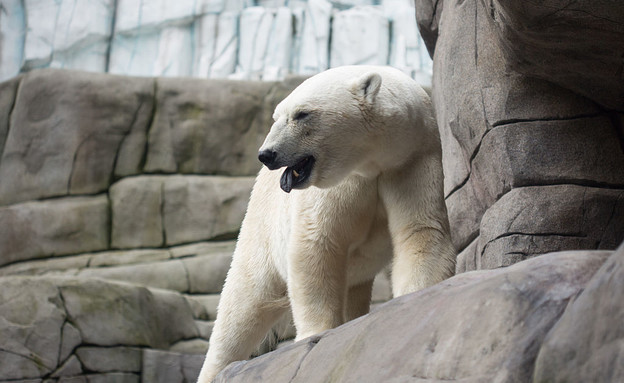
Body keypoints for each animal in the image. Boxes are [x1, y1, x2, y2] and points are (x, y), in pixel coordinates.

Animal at [197, 64, 456, 382]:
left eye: (301, 114)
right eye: (276, 117)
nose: (267, 154)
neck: (375, 160)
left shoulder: (413, 159)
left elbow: (421, 230)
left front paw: (414, 299)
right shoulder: (338, 182)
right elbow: (317, 244)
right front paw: (315, 335)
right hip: (261, 229)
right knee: (241, 305)